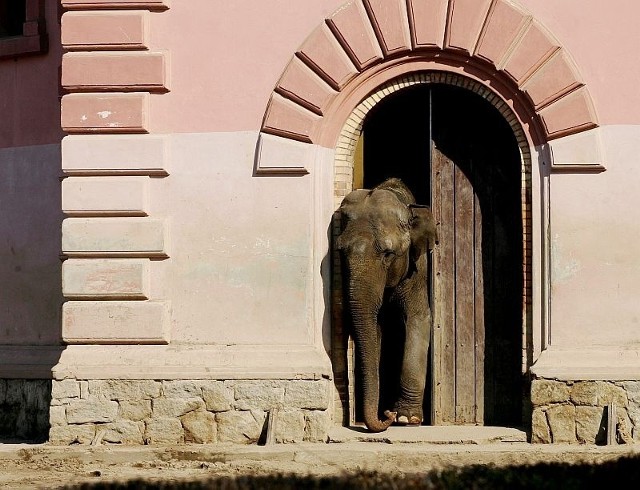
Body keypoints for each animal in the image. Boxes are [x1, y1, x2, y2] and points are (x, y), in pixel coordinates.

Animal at [336, 178, 436, 430]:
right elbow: (375, 328)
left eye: (389, 254)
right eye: (341, 252)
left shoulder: (417, 267)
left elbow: (418, 317)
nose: (386, 414)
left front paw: (406, 418)